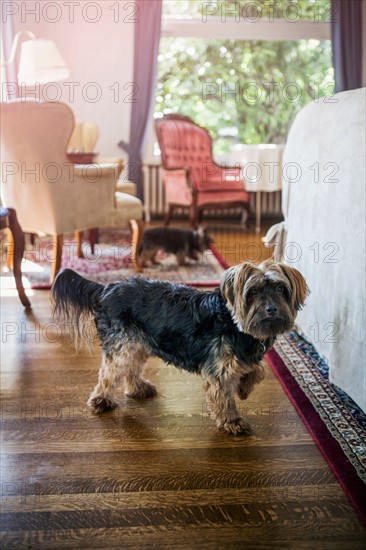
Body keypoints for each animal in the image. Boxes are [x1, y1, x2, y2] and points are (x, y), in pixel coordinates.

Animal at [51, 260, 308, 438]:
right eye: (253, 291)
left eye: (280, 289)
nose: (271, 309)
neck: (237, 325)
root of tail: (107, 289)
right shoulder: (217, 370)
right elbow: (224, 398)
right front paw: (232, 422)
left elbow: (257, 370)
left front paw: (244, 387)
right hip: (122, 341)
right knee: (110, 371)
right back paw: (101, 400)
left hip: (140, 340)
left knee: (131, 367)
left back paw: (138, 388)